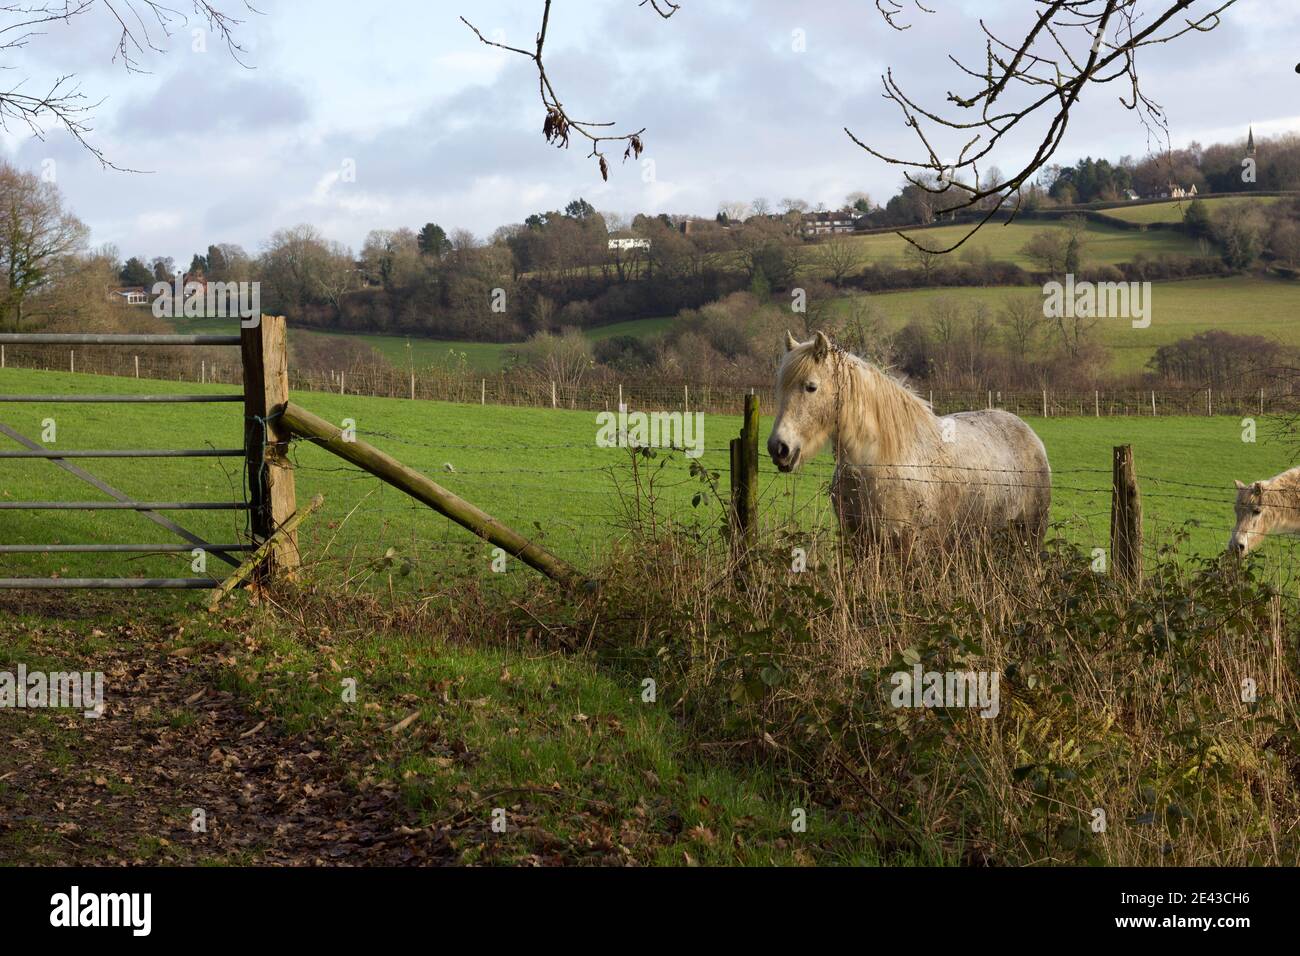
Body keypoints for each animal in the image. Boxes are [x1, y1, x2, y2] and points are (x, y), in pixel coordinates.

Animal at [767, 331, 1052, 549]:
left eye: (811, 387)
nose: (778, 447)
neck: (878, 462)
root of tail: (1029, 434)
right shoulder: (861, 545)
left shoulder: (910, 547)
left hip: (1027, 539)